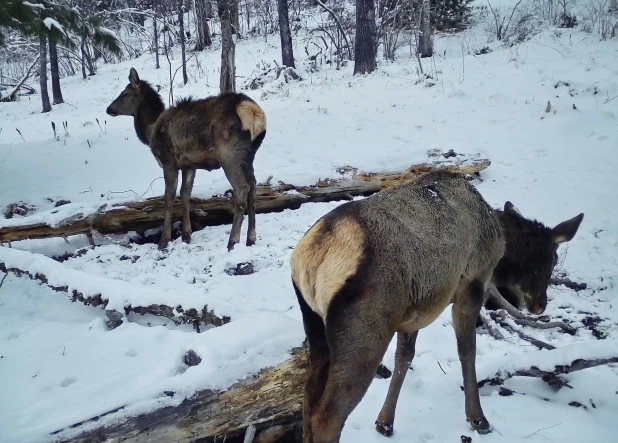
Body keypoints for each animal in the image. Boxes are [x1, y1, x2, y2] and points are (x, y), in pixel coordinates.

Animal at [106, 67, 264, 251]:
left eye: (124, 93)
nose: (108, 109)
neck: (150, 131)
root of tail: (254, 113)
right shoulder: (189, 165)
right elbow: (185, 194)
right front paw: (186, 235)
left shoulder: (167, 161)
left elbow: (169, 198)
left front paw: (164, 240)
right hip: (249, 155)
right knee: (253, 187)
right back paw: (251, 239)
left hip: (228, 154)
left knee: (242, 188)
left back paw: (232, 241)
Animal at [290, 171, 584, 443]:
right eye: (550, 260)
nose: (540, 305)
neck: (500, 243)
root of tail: (316, 252)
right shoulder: (472, 284)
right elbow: (467, 352)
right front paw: (477, 418)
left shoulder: (415, 310)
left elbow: (404, 358)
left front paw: (385, 422)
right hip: (366, 326)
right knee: (328, 414)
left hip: (314, 323)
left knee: (307, 399)